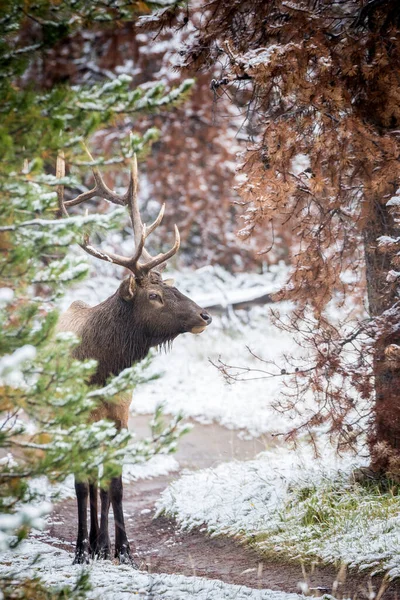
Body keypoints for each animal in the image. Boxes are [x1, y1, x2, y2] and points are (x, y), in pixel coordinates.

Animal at [57, 148, 212, 564]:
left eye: (171, 287)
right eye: (154, 295)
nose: (205, 315)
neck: (102, 370)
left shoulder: (121, 415)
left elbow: (115, 484)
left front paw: (123, 550)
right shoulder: (77, 418)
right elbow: (81, 485)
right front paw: (80, 551)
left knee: (100, 483)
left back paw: (102, 543)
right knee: (87, 481)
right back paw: (90, 544)